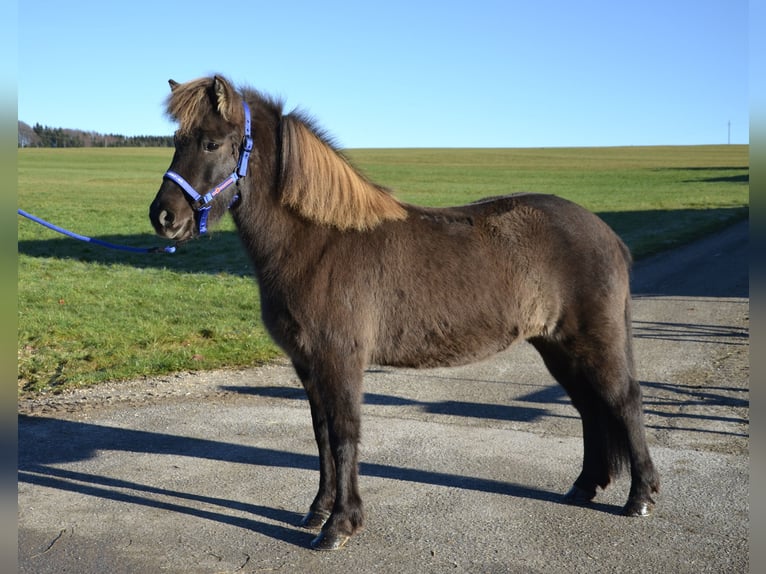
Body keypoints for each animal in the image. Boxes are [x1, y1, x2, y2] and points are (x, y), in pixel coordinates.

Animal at [149, 75, 659, 551]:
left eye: (212, 142)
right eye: (176, 140)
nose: (164, 217)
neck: (319, 242)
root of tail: (606, 234)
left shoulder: (341, 360)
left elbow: (345, 434)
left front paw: (340, 525)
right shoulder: (308, 364)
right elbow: (321, 435)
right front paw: (318, 512)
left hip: (594, 341)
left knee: (624, 401)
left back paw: (640, 497)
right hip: (557, 346)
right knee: (589, 408)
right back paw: (584, 486)